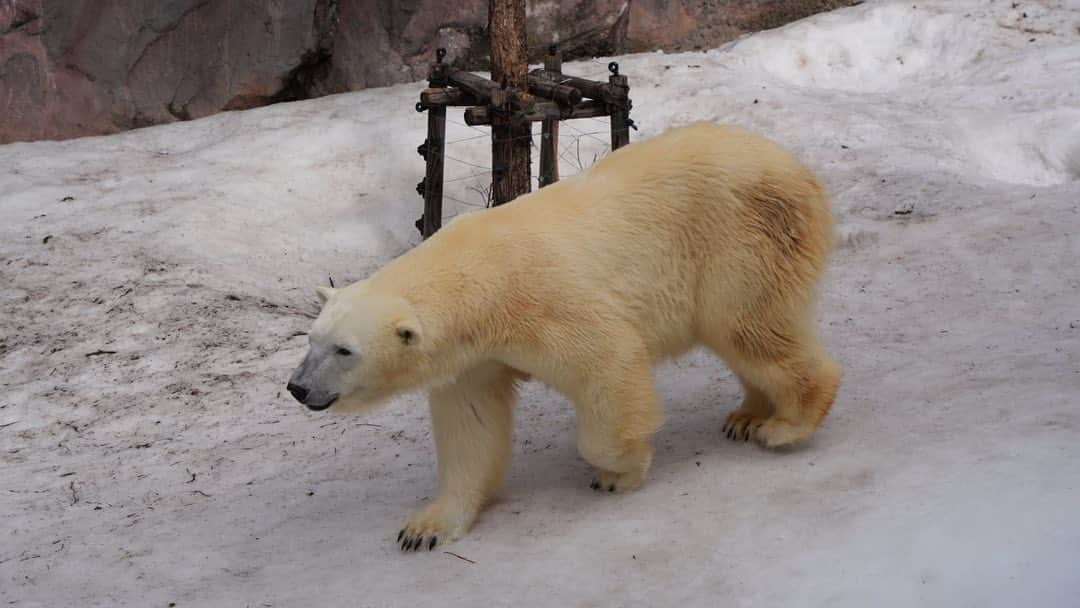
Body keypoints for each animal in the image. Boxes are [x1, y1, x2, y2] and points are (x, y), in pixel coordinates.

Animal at [289, 122, 842, 552]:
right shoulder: (471, 358)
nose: (297, 387)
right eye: (312, 340)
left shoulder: (543, 301)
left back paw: (786, 424)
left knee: (749, 326)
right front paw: (426, 527)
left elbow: (607, 363)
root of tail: (799, 170)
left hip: (742, 239)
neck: (479, 278)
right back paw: (747, 416)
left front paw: (616, 473)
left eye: (345, 350)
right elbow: (470, 426)